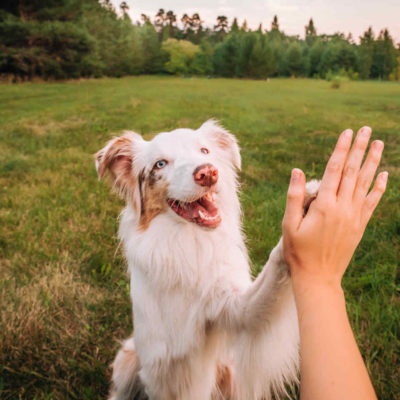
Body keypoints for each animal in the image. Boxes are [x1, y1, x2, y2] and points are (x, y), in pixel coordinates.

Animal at [94, 120, 318, 398]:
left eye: (204, 151)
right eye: (160, 163)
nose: (208, 173)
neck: (188, 242)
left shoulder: (234, 308)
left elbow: (272, 274)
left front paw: (306, 201)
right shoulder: (159, 368)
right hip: (127, 358)